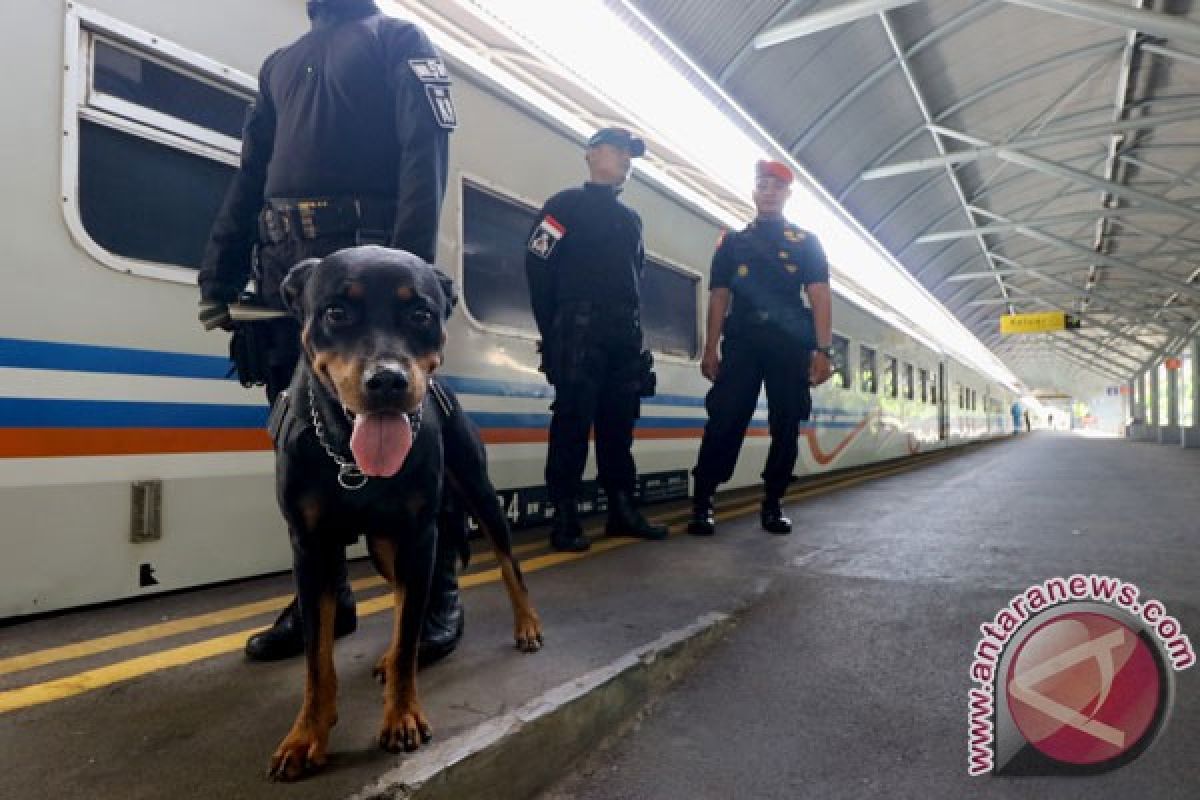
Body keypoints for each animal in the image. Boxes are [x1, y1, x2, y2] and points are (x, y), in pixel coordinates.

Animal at [268, 245, 544, 782]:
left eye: (420, 314)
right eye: (336, 312)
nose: (388, 380)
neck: (350, 460)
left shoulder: (419, 535)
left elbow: (412, 626)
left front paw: (401, 718)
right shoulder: (310, 546)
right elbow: (316, 658)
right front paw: (307, 735)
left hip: (478, 495)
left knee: (507, 564)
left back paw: (526, 625)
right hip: (382, 544)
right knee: (399, 598)